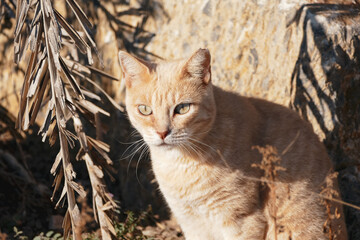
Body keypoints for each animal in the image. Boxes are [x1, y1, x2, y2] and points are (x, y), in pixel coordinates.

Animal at [119, 47, 348, 239]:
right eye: (145, 110)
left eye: (182, 108)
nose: (162, 132)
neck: (181, 163)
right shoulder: (190, 221)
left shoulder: (242, 220)